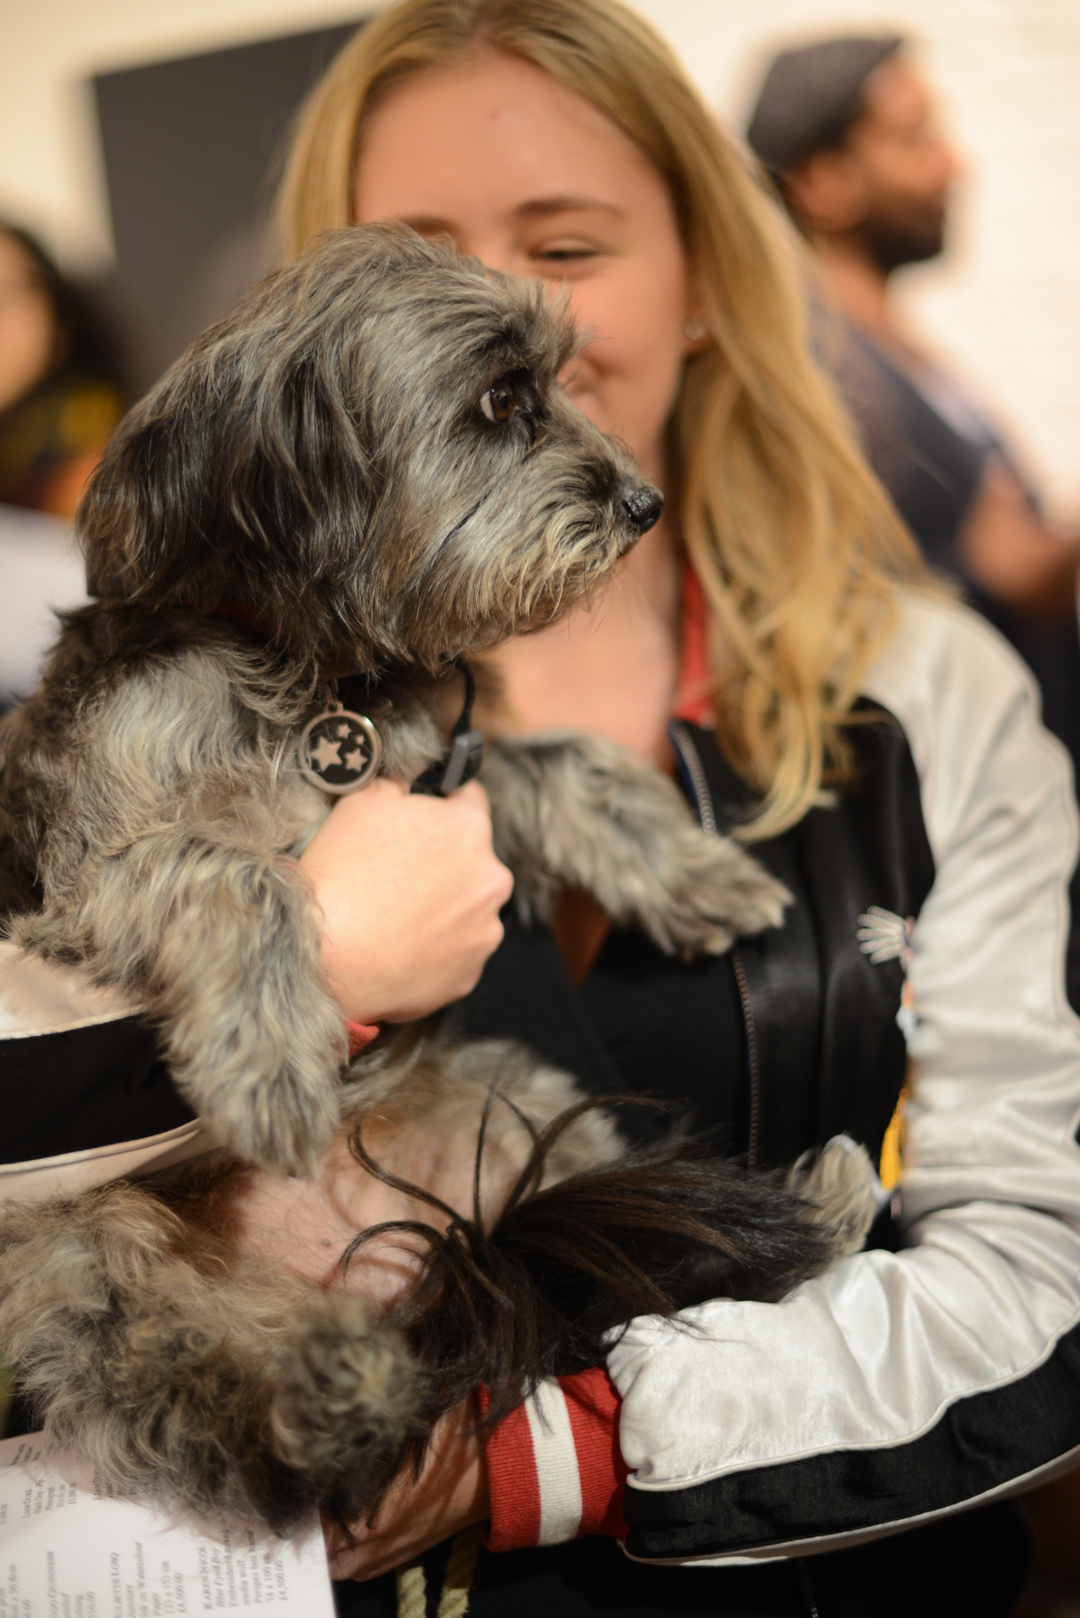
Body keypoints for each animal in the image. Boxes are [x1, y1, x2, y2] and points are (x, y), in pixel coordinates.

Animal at [0, 224, 880, 1527]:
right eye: (502, 402)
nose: (646, 502)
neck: (308, 678)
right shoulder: (89, 878)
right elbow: (238, 872)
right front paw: (270, 1063)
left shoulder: (445, 776)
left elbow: (565, 759)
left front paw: (694, 870)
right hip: (79, 1248)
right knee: (188, 1374)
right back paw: (328, 1386)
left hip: (520, 1116)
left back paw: (814, 1206)